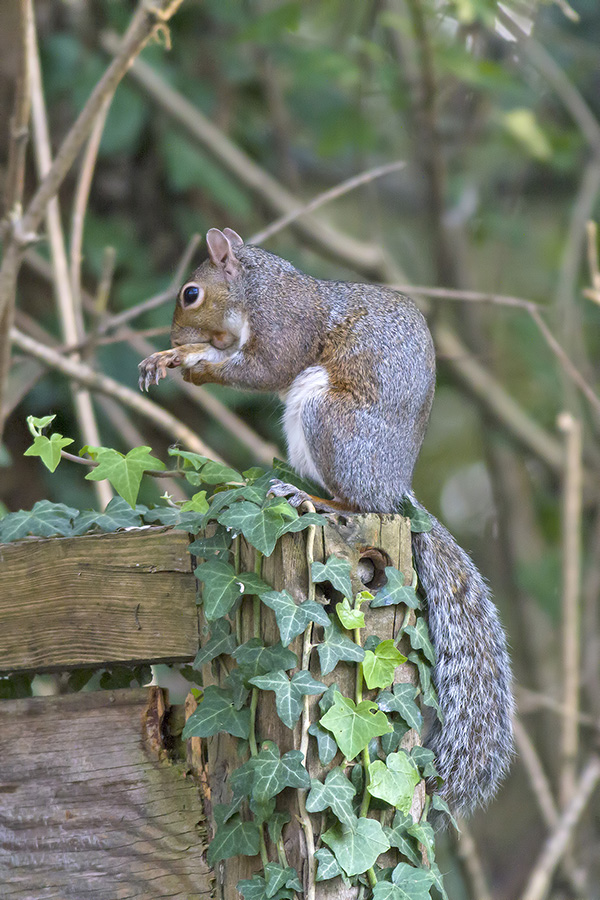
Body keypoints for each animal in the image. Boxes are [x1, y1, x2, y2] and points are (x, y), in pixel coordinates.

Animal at [138, 226, 514, 817]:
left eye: (191, 294)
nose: (176, 334)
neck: (257, 290)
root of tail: (393, 484)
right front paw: (172, 355)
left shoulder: (286, 326)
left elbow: (265, 368)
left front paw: (195, 362)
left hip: (326, 420)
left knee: (362, 507)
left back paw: (311, 497)